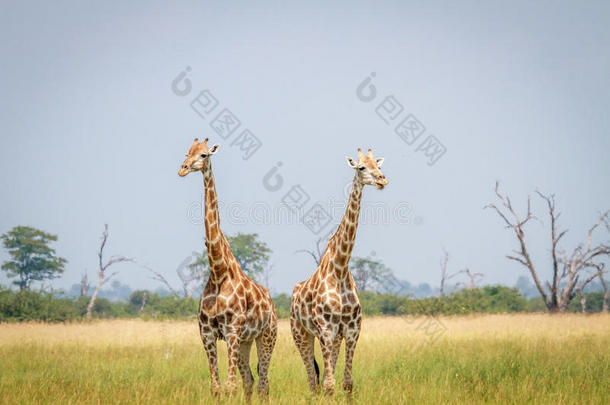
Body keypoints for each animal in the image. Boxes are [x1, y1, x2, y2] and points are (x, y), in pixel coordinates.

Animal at [178, 138, 278, 398]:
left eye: (203, 155)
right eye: (187, 152)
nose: (183, 169)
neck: (218, 271)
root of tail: (273, 305)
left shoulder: (232, 330)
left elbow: (230, 386)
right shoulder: (206, 333)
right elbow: (216, 386)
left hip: (266, 336)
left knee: (263, 383)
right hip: (245, 341)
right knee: (250, 381)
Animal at [288, 147, 384, 392]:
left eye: (378, 165)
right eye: (362, 167)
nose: (382, 179)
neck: (340, 268)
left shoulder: (351, 330)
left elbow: (346, 383)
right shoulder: (325, 329)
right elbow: (330, 385)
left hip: (332, 339)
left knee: (320, 379)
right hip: (301, 334)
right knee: (313, 380)